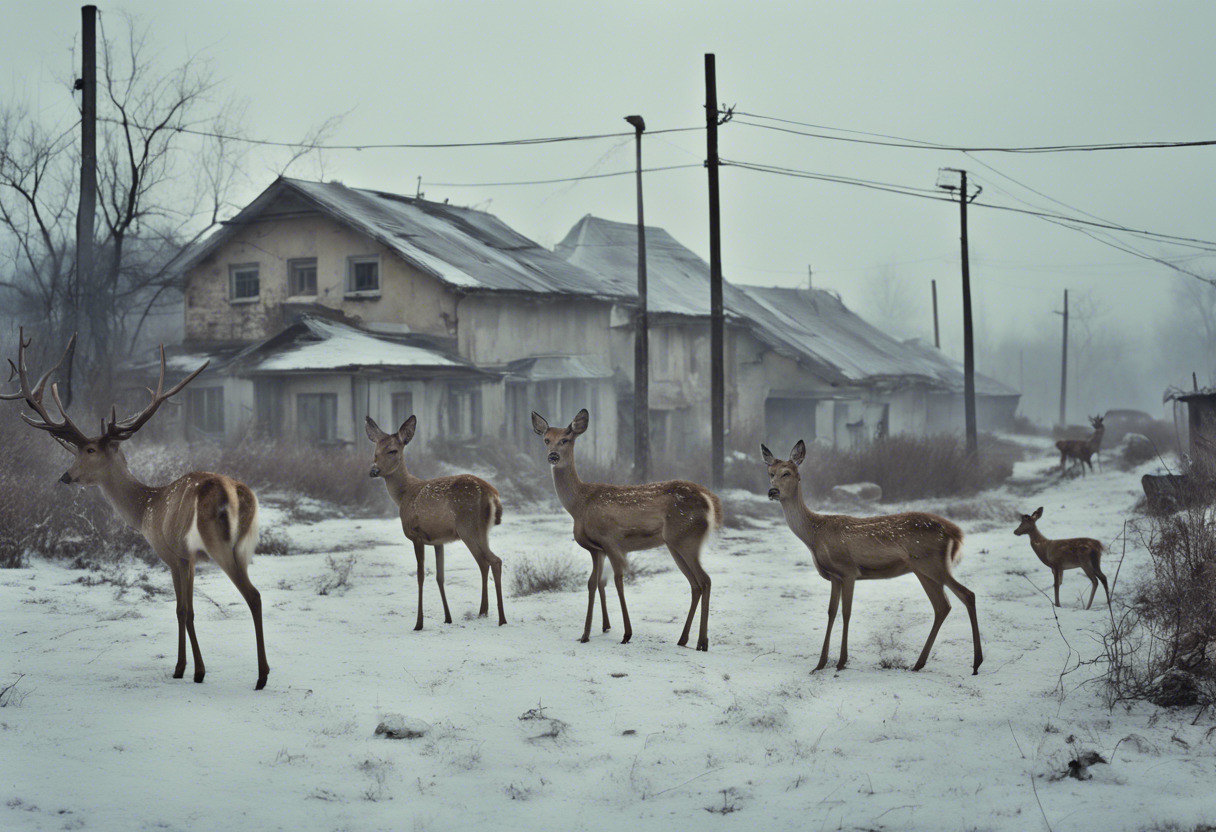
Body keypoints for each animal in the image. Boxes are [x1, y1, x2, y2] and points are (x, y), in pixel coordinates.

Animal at [0, 330, 271, 690]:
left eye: (88, 449)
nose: (66, 476)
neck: (146, 509)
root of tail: (235, 491)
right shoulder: (186, 559)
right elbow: (185, 609)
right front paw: (187, 667)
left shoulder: (174, 553)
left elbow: (183, 610)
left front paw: (189, 670)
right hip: (245, 545)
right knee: (255, 593)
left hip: (218, 544)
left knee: (253, 595)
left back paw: (261, 676)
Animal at [364, 416, 508, 632]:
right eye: (376, 451)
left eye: (393, 450)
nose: (374, 470)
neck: (403, 495)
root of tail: (493, 494)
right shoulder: (438, 540)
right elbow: (440, 576)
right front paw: (447, 617)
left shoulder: (416, 534)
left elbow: (420, 575)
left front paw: (419, 623)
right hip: (480, 530)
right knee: (484, 562)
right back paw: (483, 611)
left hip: (469, 527)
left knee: (494, 560)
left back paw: (501, 618)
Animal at [532, 408, 719, 651]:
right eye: (546, 440)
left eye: (566, 439)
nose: (553, 456)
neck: (579, 505)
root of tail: (709, 501)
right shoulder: (596, 549)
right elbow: (593, 583)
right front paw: (588, 633)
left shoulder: (610, 541)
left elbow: (618, 581)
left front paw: (626, 633)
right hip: (675, 544)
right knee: (695, 584)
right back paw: (684, 639)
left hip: (687, 539)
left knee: (705, 580)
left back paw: (702, 642)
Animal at [763, 442, 982, 676]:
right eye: (770, 473)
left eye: (787, 472)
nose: (772, 491)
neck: (814, 535)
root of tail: (952, 531)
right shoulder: (834, 576)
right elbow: (831, 612)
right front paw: (820, 663)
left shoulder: (848, 570)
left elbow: (846, 612)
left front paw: (841, 661)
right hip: (923, 569)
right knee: (942, 606)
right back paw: (918, 663)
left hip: (933, 564)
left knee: (967, 594)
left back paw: (976, 663)